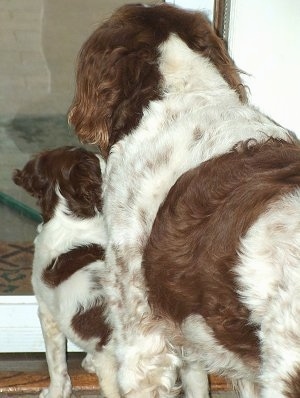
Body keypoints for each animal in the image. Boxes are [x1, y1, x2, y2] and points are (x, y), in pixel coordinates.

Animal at [12, 147, 118, 398]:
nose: (105, 154)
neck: (71, 219)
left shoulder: (46, 313)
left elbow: (56, 365)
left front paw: (54, 392)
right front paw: (88, 362)